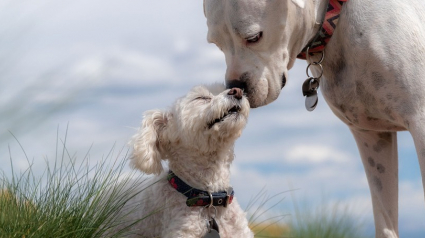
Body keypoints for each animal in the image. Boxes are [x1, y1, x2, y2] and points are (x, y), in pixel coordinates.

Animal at [204, 0, 424, 238]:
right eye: (216, 44)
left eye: (254, 37)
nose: (235, 87)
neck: (337, 19)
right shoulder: (373, 137)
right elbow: (385, 222)